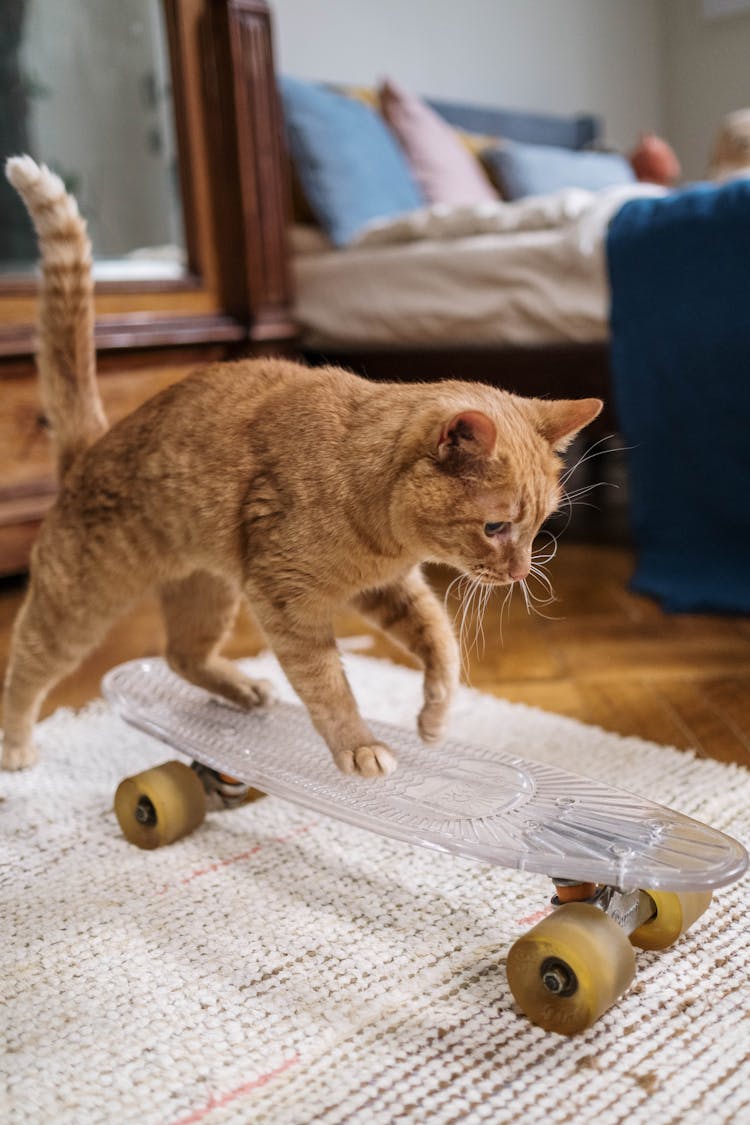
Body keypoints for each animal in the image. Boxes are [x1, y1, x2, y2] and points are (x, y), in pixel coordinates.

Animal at [0, 158, 598, 774]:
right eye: (496, 527)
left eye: (540, 526)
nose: (521, 573)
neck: (381, 528)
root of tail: (91, 446)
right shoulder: (286, 603)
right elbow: (328, 684)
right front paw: (358, 745)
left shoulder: (388, 589)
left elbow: (440, 641)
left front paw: (434, 717)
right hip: (78, 608)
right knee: (25, 667)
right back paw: (17, 744)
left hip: (206, 593)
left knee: (181, 654)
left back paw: (243, 687)